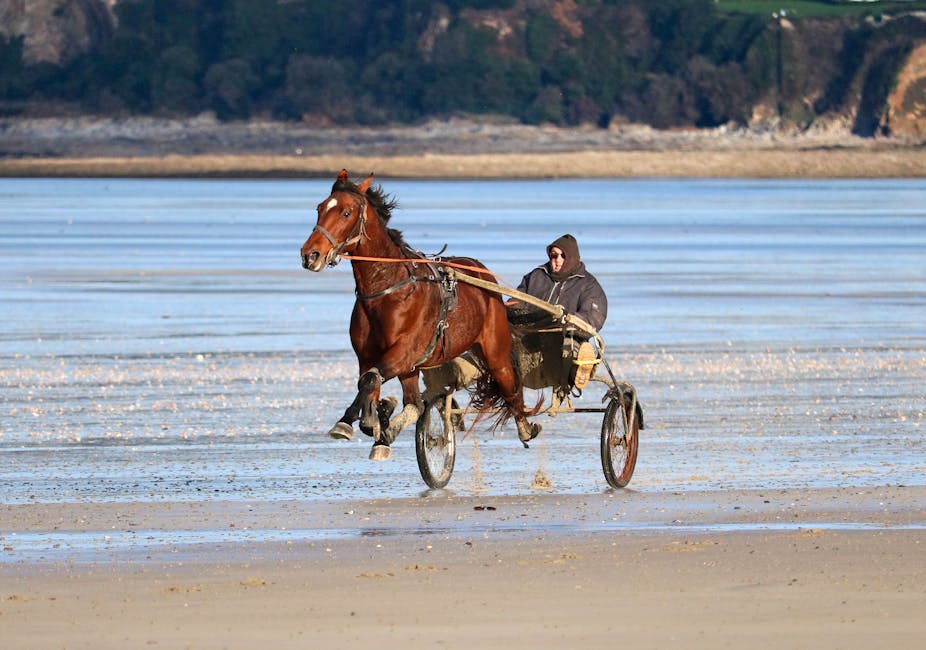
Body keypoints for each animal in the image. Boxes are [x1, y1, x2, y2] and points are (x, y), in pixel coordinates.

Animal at [300, 170, 540, 460]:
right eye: (320, 208)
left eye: (346, 213)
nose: (310, 254)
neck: (388, 290)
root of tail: (483, 273)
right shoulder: (370, 356)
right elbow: (368, 383)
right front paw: (372, 420)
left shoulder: (406, 350)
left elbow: (369, 380)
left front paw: (352, 422)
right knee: (414, 403)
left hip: (495, 350)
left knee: (510, 385)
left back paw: (525, 427)